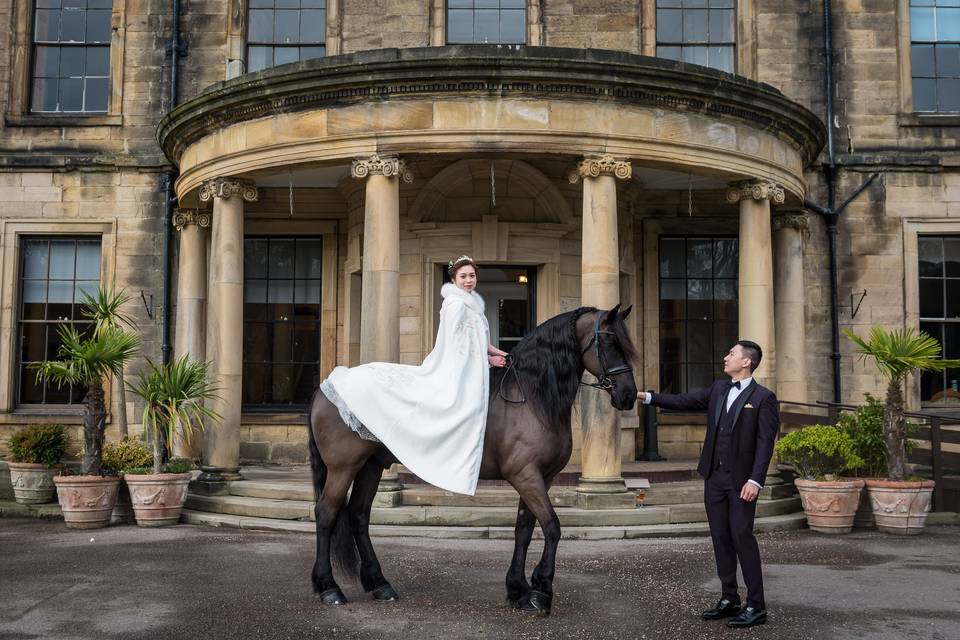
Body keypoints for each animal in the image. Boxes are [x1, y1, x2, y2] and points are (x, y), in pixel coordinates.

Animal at [308, 304, 636, 616]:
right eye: (610, 342)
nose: (629, 395)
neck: (531, 398)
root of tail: (326, 387)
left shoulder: (540, 478)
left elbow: (524, 529)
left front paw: (518, 590)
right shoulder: (526, 476)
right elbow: (552, 527)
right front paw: (541, 591)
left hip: (371, 467)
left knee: (358, 515)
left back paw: (379, 584)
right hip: (343, 468)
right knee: (326, 514)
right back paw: (329, 587)